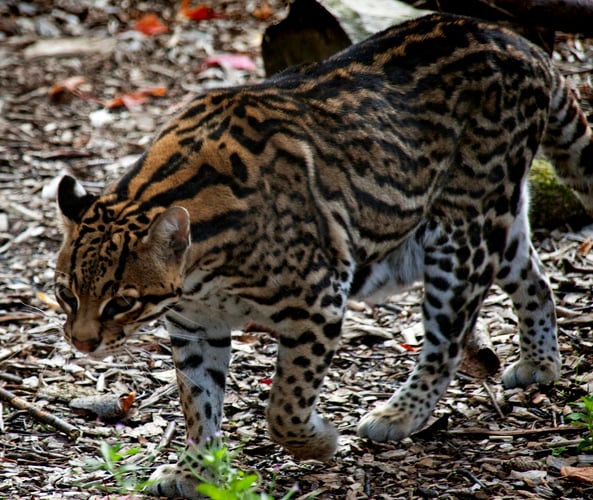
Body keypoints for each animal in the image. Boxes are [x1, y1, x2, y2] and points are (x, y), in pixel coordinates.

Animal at [54, 13, 592, 498]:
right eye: (65, 295)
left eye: (121, 302)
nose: (80, 343)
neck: (198, 275)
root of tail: (519, 42)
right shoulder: (195, 326)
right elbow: (199, 403)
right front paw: (197, 470)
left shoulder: (317, 300)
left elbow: (284, 405)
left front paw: (316, 443)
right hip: (493, 223)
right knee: (536, 279)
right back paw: (541, 362)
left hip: (462, 233)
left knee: (447, 341)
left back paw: (401, 413)